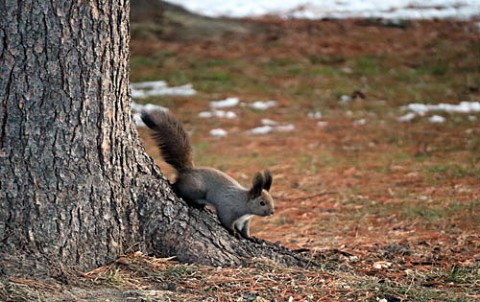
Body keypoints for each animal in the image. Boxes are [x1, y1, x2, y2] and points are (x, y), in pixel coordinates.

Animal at [141, 109, 274, 239]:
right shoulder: (228, 209)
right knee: (179, 187)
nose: (272, 212)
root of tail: (188, 171)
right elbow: (226, 222)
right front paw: (234, 232)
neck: (244, 204)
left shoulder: (244, 221)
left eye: (272, 200)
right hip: (196, 189)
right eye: (262, 203)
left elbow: (245, 231)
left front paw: (250, 237)